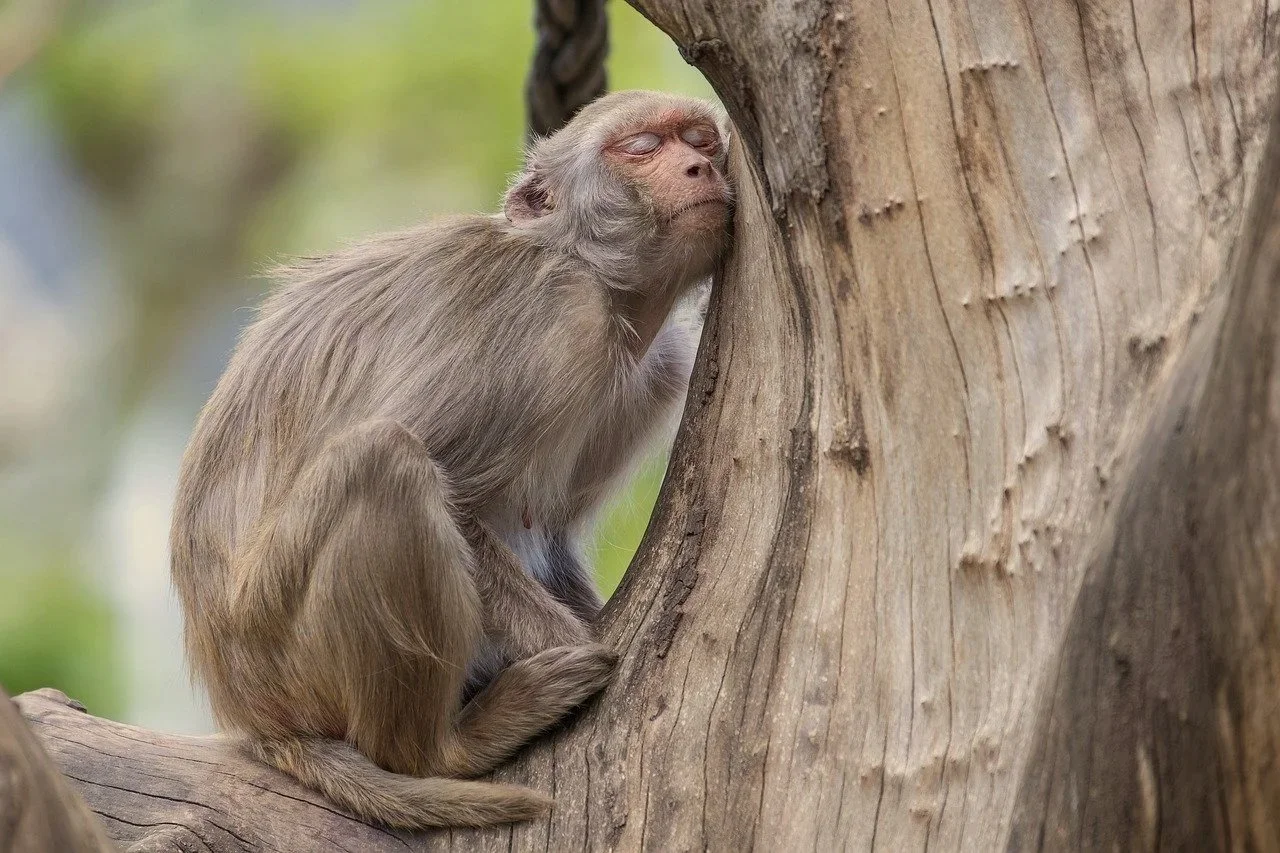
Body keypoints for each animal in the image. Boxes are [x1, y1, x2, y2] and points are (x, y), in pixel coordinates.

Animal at [169, 90, 732, 829]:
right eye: (640, 148)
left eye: (701, 141)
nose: (701, 167)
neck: (595, 278)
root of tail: (251, 713)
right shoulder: (552, 317)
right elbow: (455, 492)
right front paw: (577, 643)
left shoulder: (659, 368)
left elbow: (549, 530)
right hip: (285, 646)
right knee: (385, 461)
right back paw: (443, 749)